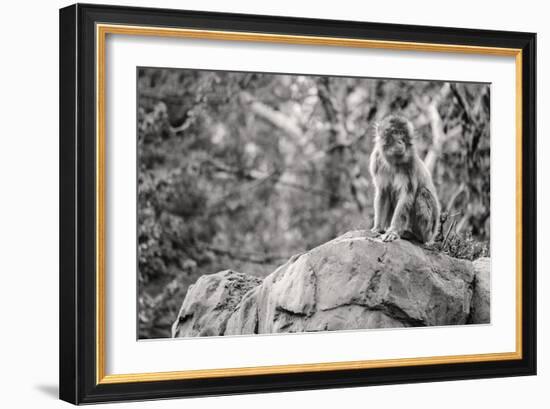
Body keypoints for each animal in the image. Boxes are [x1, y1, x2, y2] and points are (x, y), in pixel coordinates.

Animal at [370, 113, 444, 244]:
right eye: (395, 132)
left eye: (402, 133)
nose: (400, 142)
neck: (393, 161)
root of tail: (433, 235)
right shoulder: (377, 161)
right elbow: (383, 193)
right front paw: (378, 228)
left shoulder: (411, 163)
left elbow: (406, 195)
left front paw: (393, 231)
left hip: (429, 228)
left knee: (422, 193)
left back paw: (413, 235)